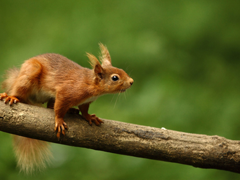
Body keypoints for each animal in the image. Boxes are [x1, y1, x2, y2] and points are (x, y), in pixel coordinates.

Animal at [0, 43, 134, 173]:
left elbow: (84, 110)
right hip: (30, 73)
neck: (90, 84)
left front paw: (89, 117)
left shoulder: (86, 101)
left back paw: (71, 110)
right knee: (20, 91)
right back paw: (11, 96)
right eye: (115, 78)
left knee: (50, 106)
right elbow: (59, 108)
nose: (132, 81)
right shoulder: (66, 92)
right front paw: (59, 121)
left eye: (122, 70)